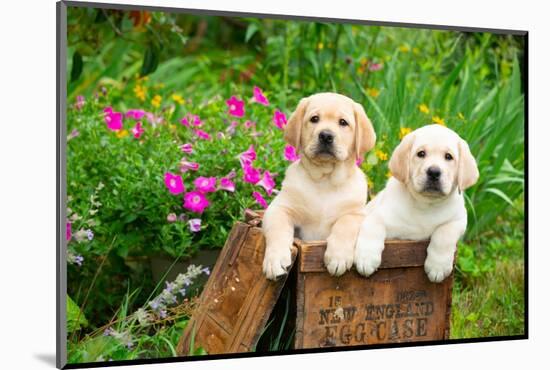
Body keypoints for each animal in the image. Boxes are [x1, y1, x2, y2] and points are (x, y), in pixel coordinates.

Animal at [264, 92, 378, 280]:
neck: (326, 180)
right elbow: (278, 230)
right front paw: (275, 260)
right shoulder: (279, 208)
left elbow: (345, 224)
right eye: (314, 119)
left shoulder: (357, 214)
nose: (325, 135)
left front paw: (338, 257)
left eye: (343, 122)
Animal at [356, 125, 480, 284]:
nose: (434, 172)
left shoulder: (458, 220)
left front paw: (438, 267)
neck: (425, 204)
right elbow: (373, 227)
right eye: (421, 154)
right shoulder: (377, 215)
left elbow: (444, 234)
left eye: (448, 157)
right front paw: (366, 259)